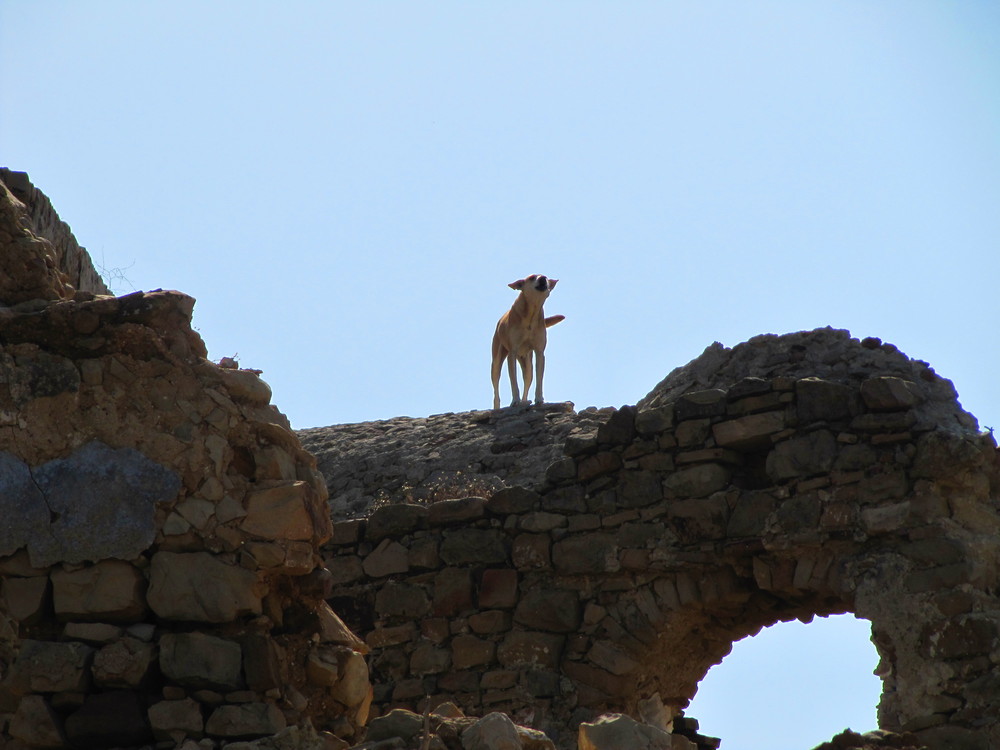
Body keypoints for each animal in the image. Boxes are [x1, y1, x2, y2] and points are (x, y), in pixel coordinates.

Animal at [490, 274, 564, 412]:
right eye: (532, 277)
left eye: (545, 276)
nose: (543, 278)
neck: (530, 314)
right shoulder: (512, 353)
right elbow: (513, 382)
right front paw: (515, 401)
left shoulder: (539, 352)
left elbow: (539, 379)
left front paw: (539, 399)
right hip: (496, 360)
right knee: (496, 388)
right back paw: (497, 408)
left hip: (526, 361)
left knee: (527, 379)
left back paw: (525, 401)